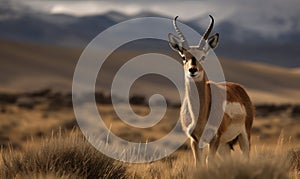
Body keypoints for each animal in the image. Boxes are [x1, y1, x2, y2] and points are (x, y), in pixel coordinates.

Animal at [168, 15, 254, 165]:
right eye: (183, 57)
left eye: (203, 56)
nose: (192, 70)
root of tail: (240, 89)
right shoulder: (194, 140)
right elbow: (199, 163)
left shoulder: (214, 139)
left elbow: (209, 162)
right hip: (224, 146)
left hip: (244, 136)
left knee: (246, 157)